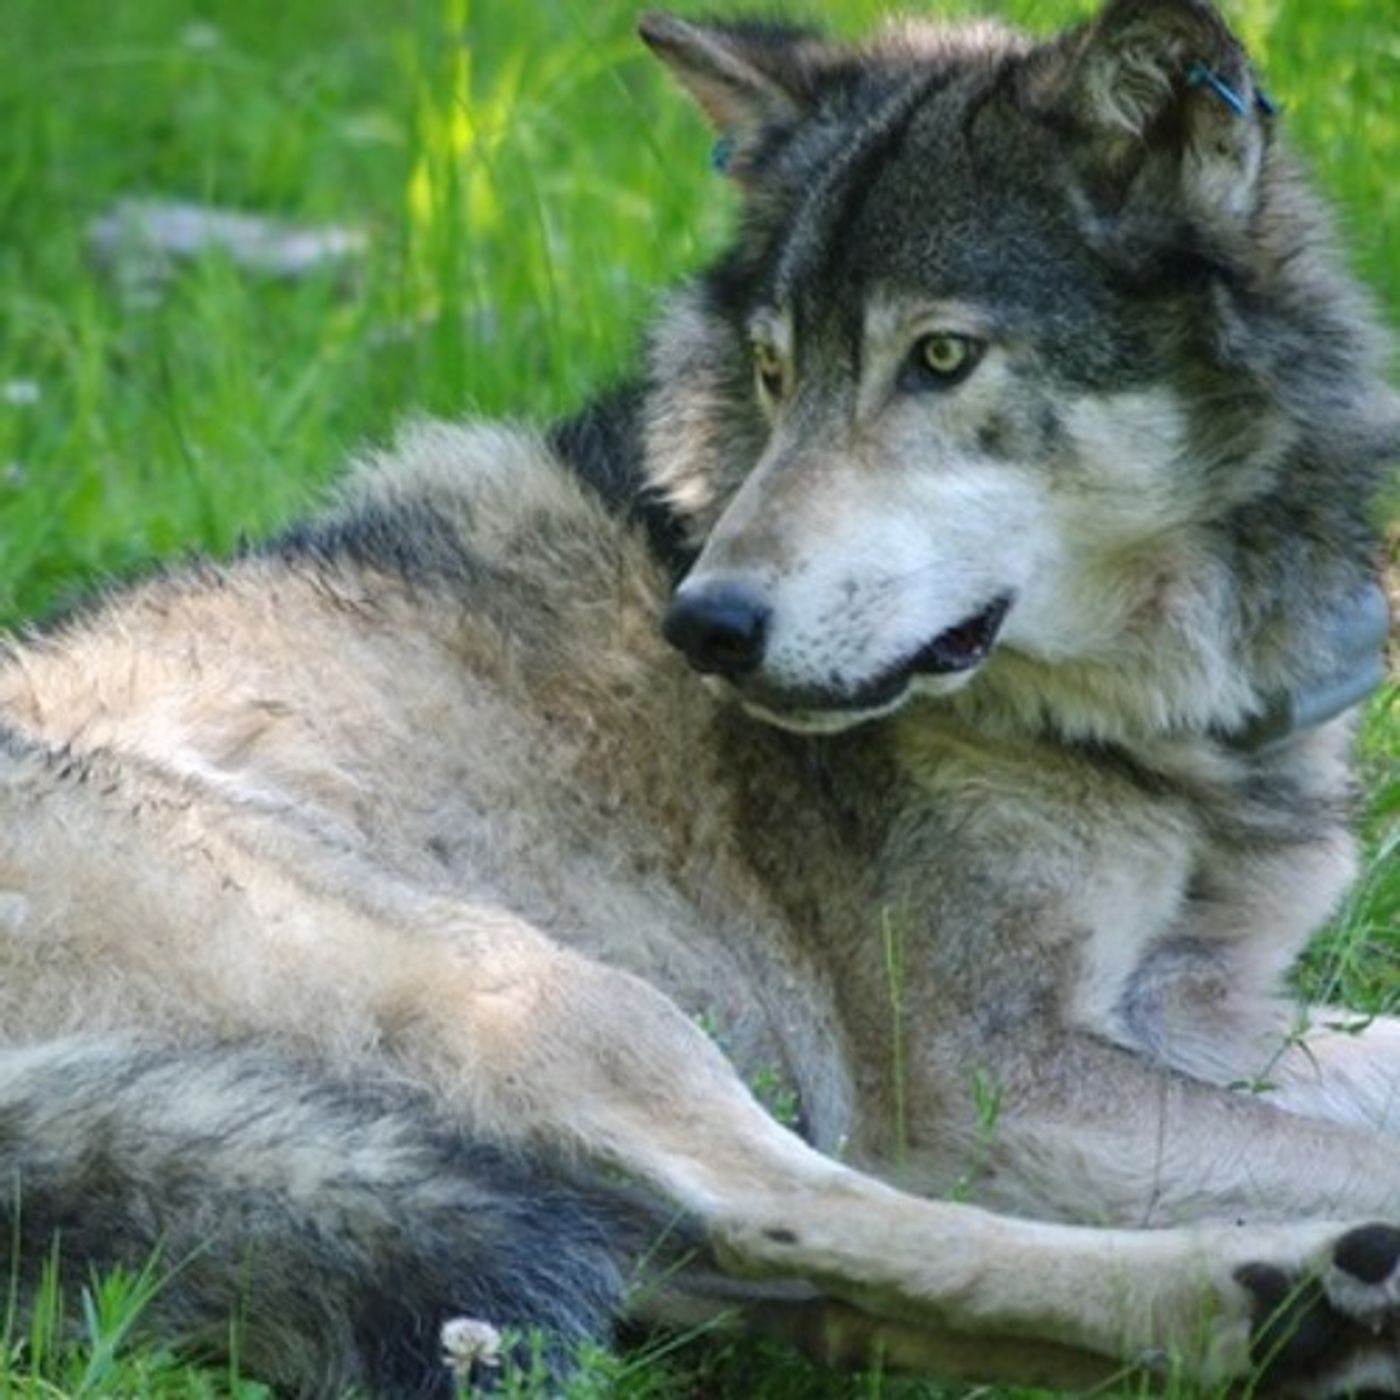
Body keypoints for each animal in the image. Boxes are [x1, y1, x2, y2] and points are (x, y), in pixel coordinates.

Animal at [1, 0, 1397, 1394]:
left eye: (941, 357)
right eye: (773, 370)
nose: (705, 625)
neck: (1169, 728)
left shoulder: (1206, 1009)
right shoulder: (990, 1076)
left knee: (779, 1286)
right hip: (554, 994)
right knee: (804, 1206)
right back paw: (1273, 1289)